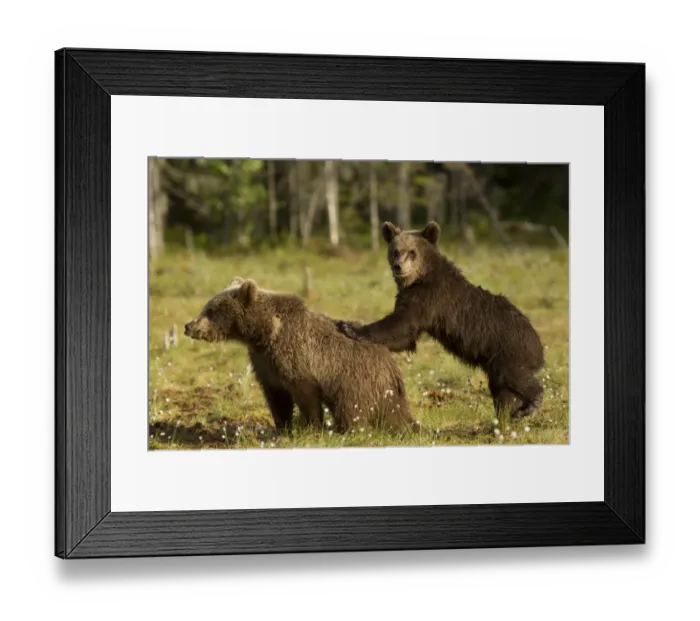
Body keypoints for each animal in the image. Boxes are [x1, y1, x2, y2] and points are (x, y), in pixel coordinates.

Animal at [184, 277, 416, 434]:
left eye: (210, 311)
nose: (189, 326)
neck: (264, 333)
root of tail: (393, 369)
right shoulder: (264, 361)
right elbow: (276, 397)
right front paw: (282, 428)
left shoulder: (295, 355)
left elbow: (305, 393)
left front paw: (312, 428)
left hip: (355, 380)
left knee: (351, 409)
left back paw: (348, 430)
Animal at [337, 221, 545, 421]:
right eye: (395, 251)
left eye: (411, 252)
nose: (398, 266)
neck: (419, 277)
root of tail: (538, 344)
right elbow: (404, 336)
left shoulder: (428, 298)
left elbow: (402, 327)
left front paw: (350, 327)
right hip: (496, 359)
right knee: (503, 389)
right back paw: (508, 414)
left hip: (508, 350)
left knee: (516, 377)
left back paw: (530, 404)